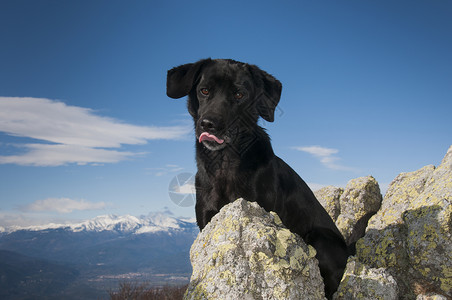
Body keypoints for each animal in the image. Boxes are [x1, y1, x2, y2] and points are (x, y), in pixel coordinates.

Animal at [166, 58, 346, 298]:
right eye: (204, 90)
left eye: (239, 94)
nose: (209, 124)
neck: (224, 162)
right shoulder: (206, 220)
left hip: (322, 239)